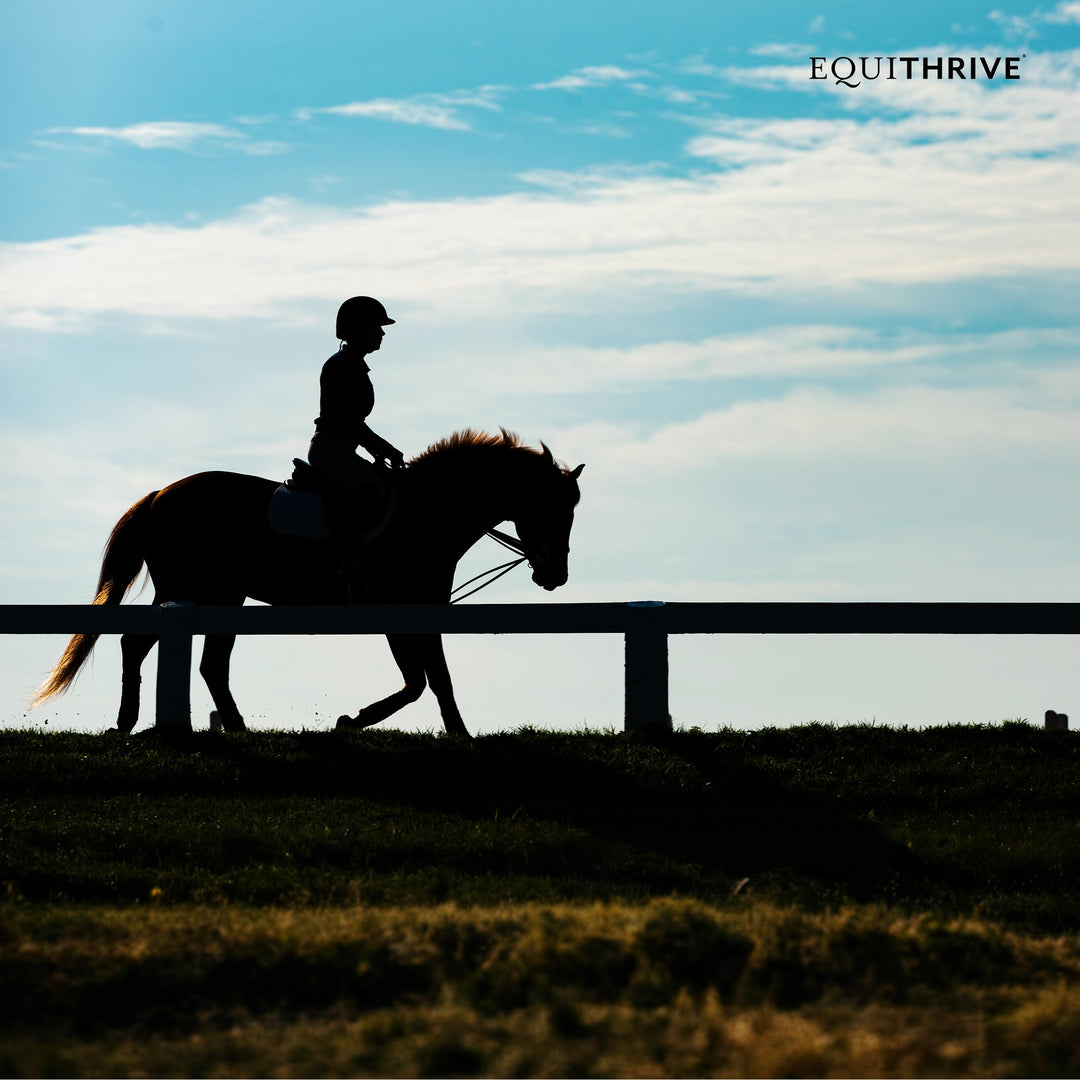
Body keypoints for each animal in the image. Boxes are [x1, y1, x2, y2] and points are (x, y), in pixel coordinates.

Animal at [33, 429, 584, 738]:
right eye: (556, 509)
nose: (554, 575)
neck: (427, 514)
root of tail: (161, 494)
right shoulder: (402, 616)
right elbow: (425, 682)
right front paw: (361, 723)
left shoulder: (415, 616)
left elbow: (429, 682)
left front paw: (447, 733)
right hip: (188, 590)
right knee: (142, 644)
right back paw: (133, 721)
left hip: (220, 596)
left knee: (205, 662)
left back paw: (229, 727)